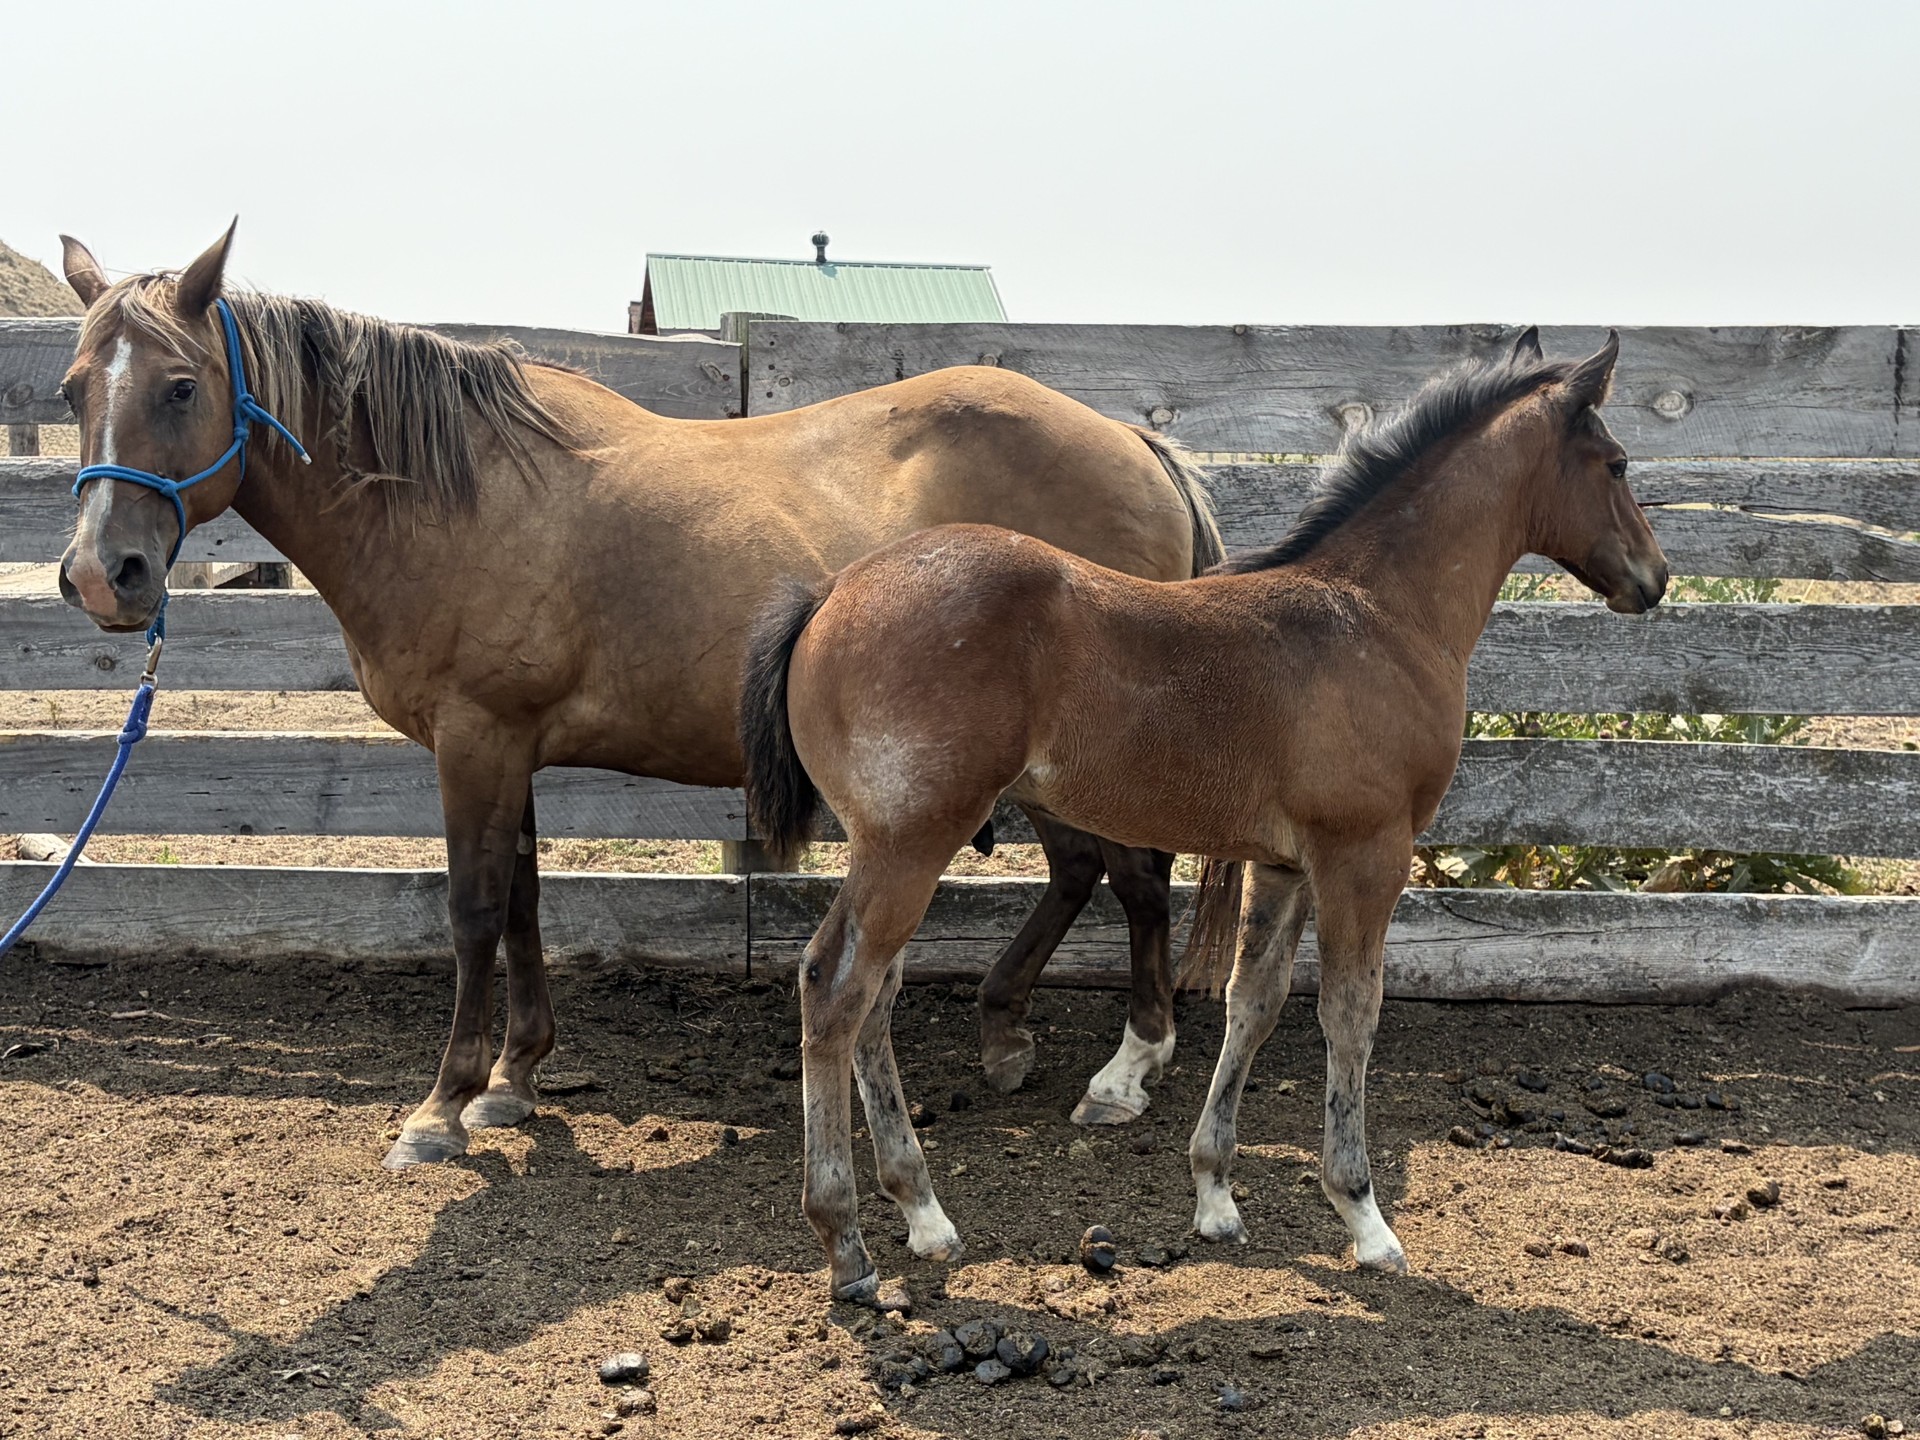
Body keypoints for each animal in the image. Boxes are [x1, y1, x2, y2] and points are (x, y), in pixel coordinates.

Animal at [53, 224, 1223, 1170]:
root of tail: (1138, 445)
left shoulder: (474, 740)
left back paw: (1129, 1068)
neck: (456, 493)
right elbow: (523, 899)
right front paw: (515, 1079)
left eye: (180, 387)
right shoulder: (508, 746)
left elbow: (472, 912)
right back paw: (1007, 1029)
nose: (103, 577)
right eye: (71, 390)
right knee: (1083, 873)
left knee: (1137, 879)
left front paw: (442, 1105)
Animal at [740, 329, 1669, 1301]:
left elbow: (1250, 1003)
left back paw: (923, 1215)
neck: (1378, 615)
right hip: (911, 843)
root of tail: (831, 592)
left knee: (871, 993)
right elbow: (1351, 1014)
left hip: (892, 845)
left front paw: (1215, 1194)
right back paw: (848, 1245)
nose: (1656, 577)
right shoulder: (1366, 854)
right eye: (1616, 462)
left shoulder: (1286, 862)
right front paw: (1365, 1219)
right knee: (837, 989)